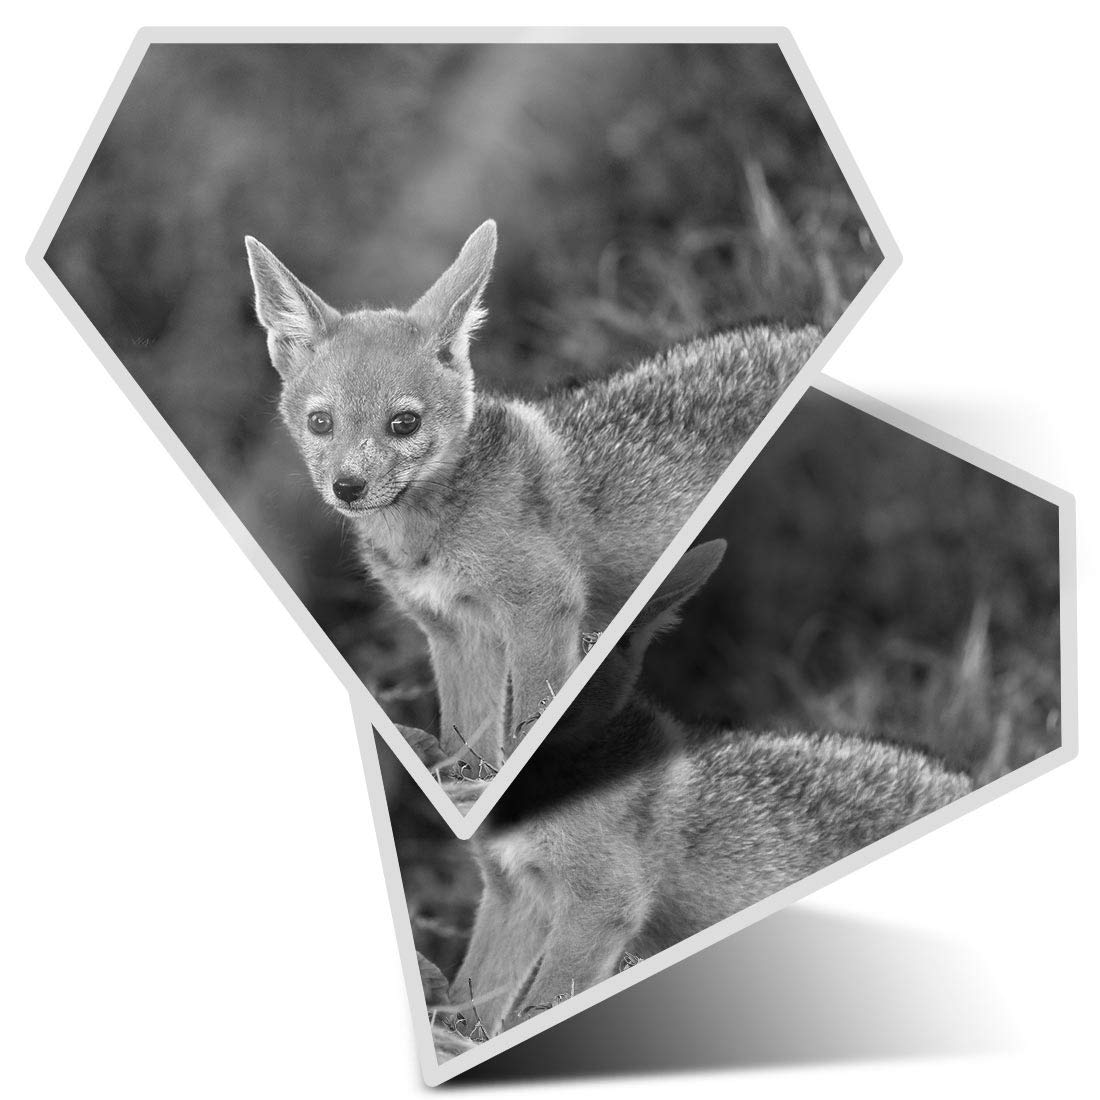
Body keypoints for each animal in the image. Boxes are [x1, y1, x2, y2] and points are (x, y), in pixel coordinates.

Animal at [246, 222, 821, 768]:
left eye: (403, 423)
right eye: (321, 423)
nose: (347, 487)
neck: (424, 540)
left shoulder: (542, 607)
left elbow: (528, 726)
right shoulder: (457, 634)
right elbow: (466, 754)